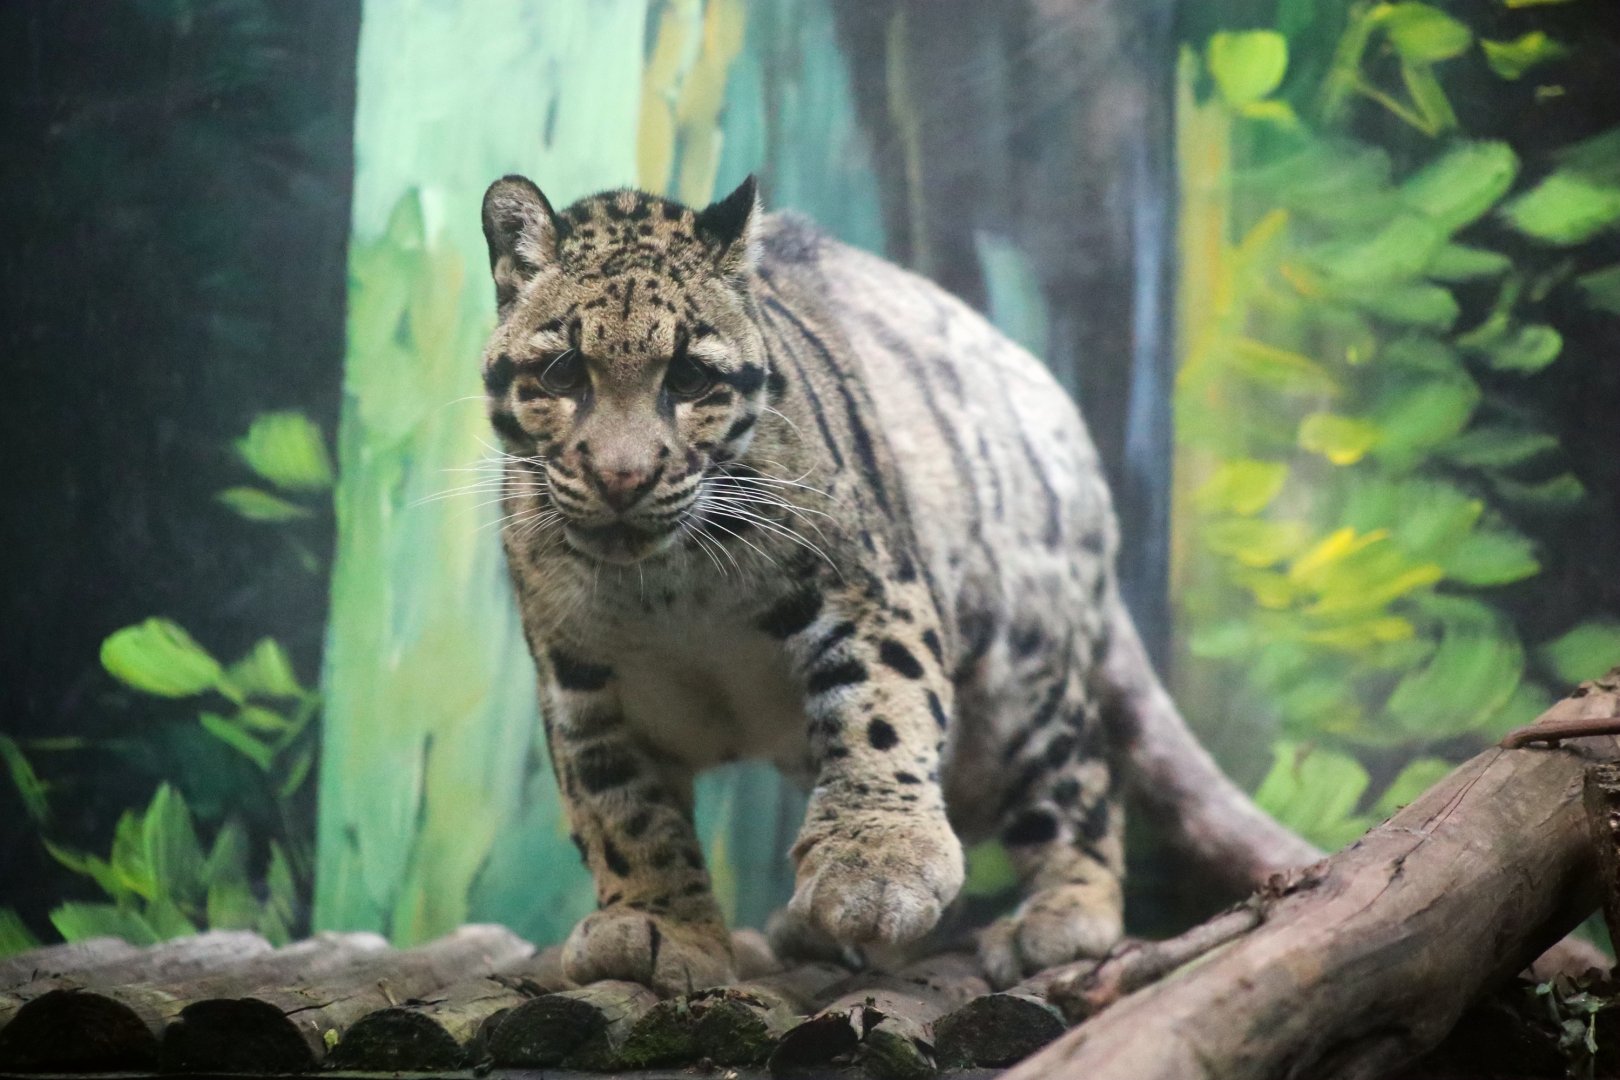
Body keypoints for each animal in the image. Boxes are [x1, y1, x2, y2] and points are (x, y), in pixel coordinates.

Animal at [479, 173, 1144, 993]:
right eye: (564, 372)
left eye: (689, 376)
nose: (621, 477)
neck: (667, 587)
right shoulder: (581, 680)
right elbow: (621, 808)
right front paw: (658, 922)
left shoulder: (867, 590)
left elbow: (881, 712)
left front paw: (878, 868)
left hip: (1022, 689)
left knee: (1079, 781)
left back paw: (1062, 913)